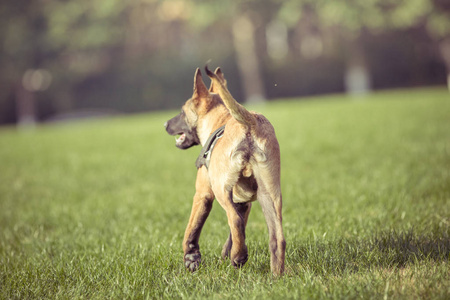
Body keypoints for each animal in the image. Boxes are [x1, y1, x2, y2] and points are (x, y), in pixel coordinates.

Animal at [164, 67, 284, 276]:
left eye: (181, 112)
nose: (165, 125)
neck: (220, 118)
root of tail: (249, 121)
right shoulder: (244, 203)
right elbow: (235, 235)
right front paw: (225, 255)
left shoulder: (203, 194)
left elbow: (192, 228)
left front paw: (191, 257)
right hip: (270, 194)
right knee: (277, 238)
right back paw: (275, 275)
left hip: (221, 189)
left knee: (234, 220)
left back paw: (239, 257)